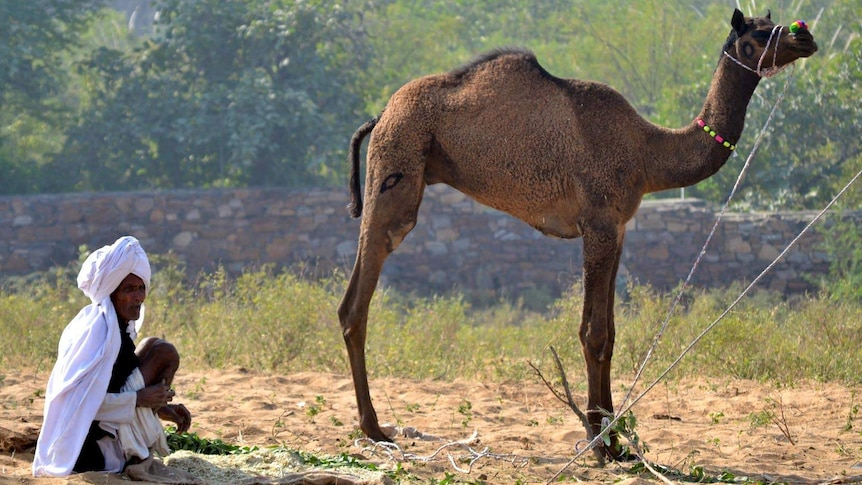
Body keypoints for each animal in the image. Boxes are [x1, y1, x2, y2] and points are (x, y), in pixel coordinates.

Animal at [338, 9, 816, 460]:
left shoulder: (618, 228)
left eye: (774, 23)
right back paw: (374, 428)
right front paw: (600, 442)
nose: (805, 35)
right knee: (357, 299)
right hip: (395, 166)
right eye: (759, 33)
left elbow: (611, 332)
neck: (648, 152)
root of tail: (380, 115)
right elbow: (594, 333)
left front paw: (616, 443)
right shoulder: (598, 223)